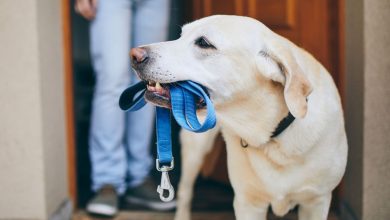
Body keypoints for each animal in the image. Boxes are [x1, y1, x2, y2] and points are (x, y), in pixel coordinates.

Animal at [131, 15, 348, 220]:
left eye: (204, 43)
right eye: (181, 35)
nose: (134, 55)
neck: (271, 133)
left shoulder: (316, 201)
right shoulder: (247, 203)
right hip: (194, 147)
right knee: (185, 191)